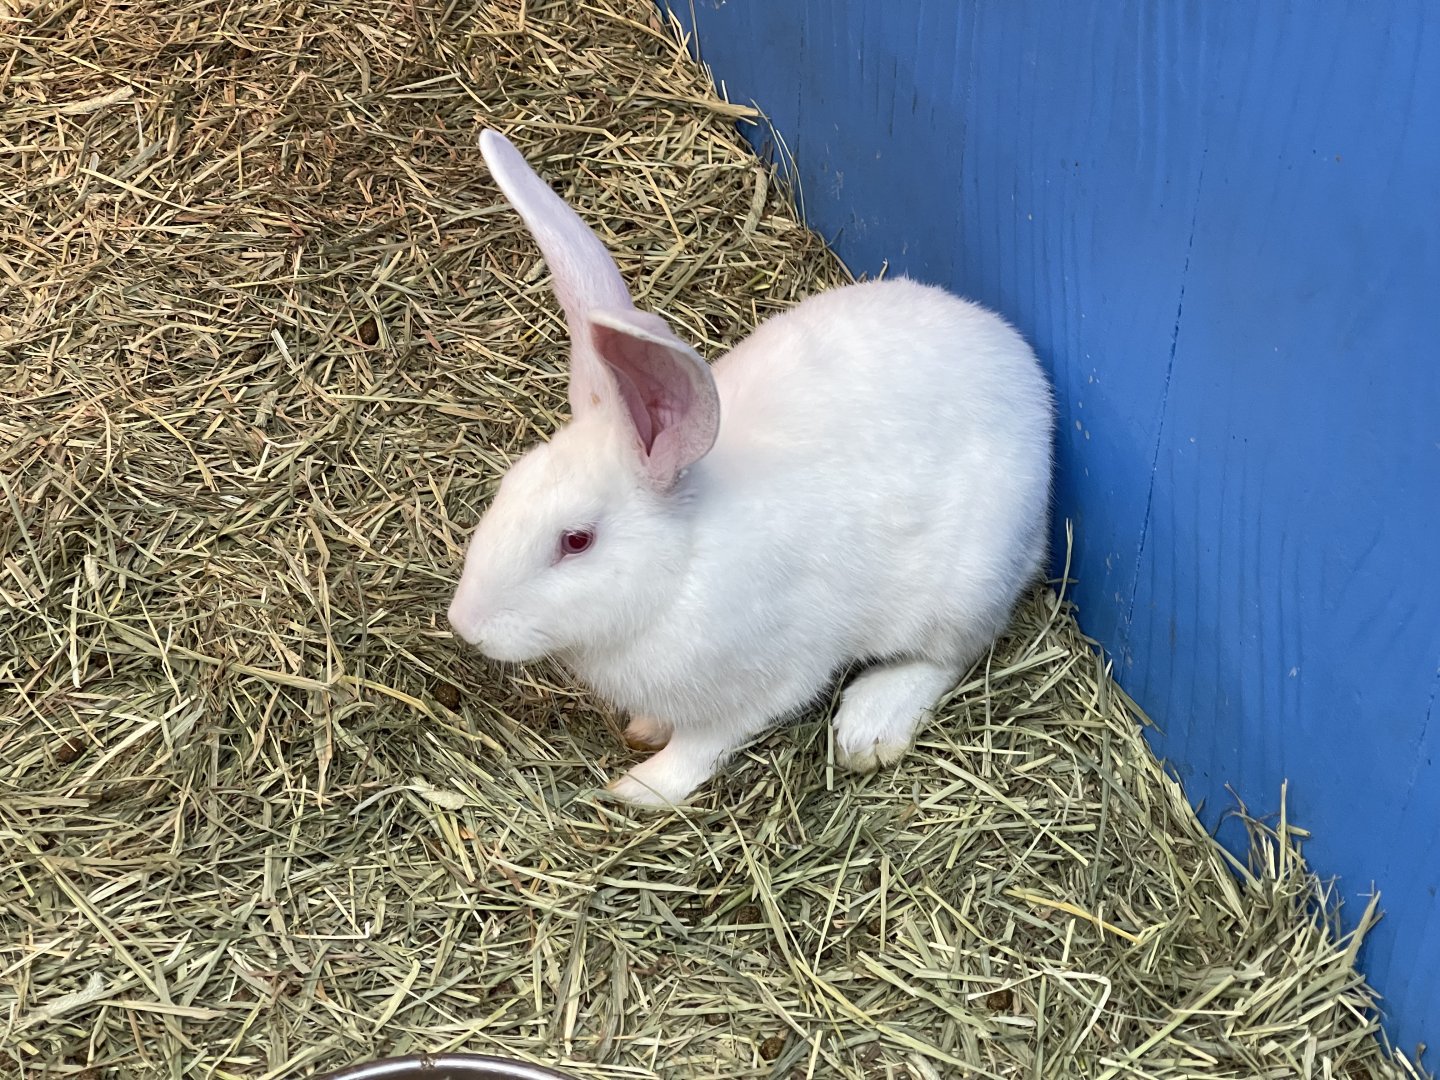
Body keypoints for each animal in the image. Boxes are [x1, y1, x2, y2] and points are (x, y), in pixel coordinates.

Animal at [447, 130, 1055, 808]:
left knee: (950, 654)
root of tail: (1028, 382)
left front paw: (637, 787)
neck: (678, 571)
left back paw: (868, 726)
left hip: (964, 587)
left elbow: (702, 745)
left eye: (576, 541)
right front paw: (642, 730)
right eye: (509, 486)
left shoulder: (763, 684)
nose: (465, 626)